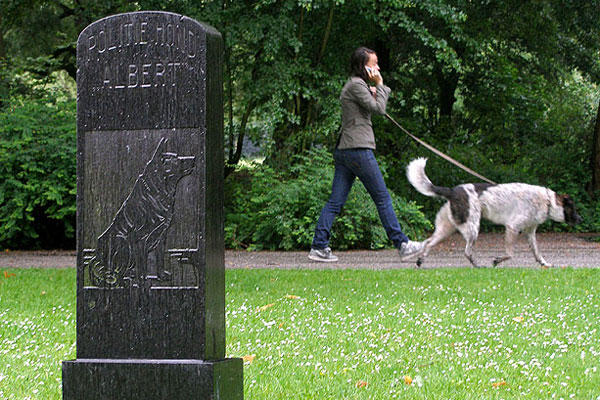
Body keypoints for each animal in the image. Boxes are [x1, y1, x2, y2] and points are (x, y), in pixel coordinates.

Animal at [404, 158, 580, 268]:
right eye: (573, 208)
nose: (581, 219)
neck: (547, 201)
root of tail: (452, 191)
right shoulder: (512, 227)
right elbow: (510, 253)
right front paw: (496, 261)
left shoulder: (530, 233)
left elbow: (537, 252)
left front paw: (544, 264)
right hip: (473, 228)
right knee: (467, 252)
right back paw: (478, 265)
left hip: (446, 229)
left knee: (429, 242)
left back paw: (420, 261)